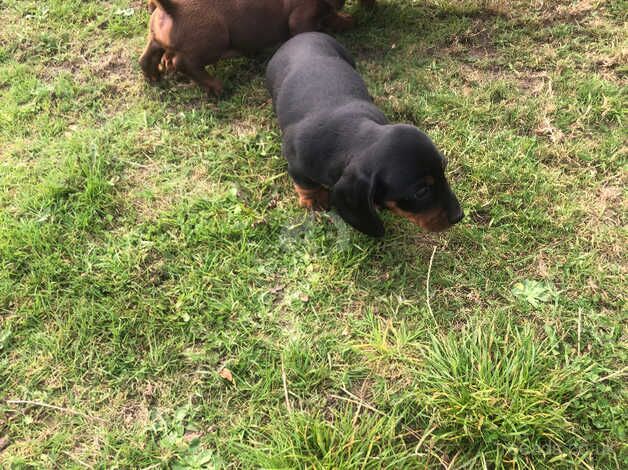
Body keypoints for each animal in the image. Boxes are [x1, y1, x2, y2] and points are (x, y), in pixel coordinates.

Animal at [140, 0, 376, 93]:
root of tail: (173, 9)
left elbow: (333, 16)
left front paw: (349, 20)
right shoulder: (301, 18)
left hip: (156, 38)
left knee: (147, 57)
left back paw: (154, 76)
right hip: (214, 42)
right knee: (184, 63)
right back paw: (217, 87)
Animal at [268, 33, 464, 237]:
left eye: (444, 167)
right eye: (421, 191)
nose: (459, 216)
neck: (353, 134)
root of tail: (303, 35)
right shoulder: (297, 165)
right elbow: (306, 185)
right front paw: (314, 200)